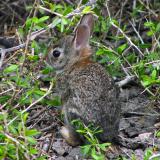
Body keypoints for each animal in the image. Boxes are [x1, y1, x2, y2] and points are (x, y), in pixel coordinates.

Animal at [45, 13, 120, 146]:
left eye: (56, 53)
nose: (45, 59)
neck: (74, 63)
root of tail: (100, 134)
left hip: (72, 112)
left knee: (79, 140)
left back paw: (65, 132)